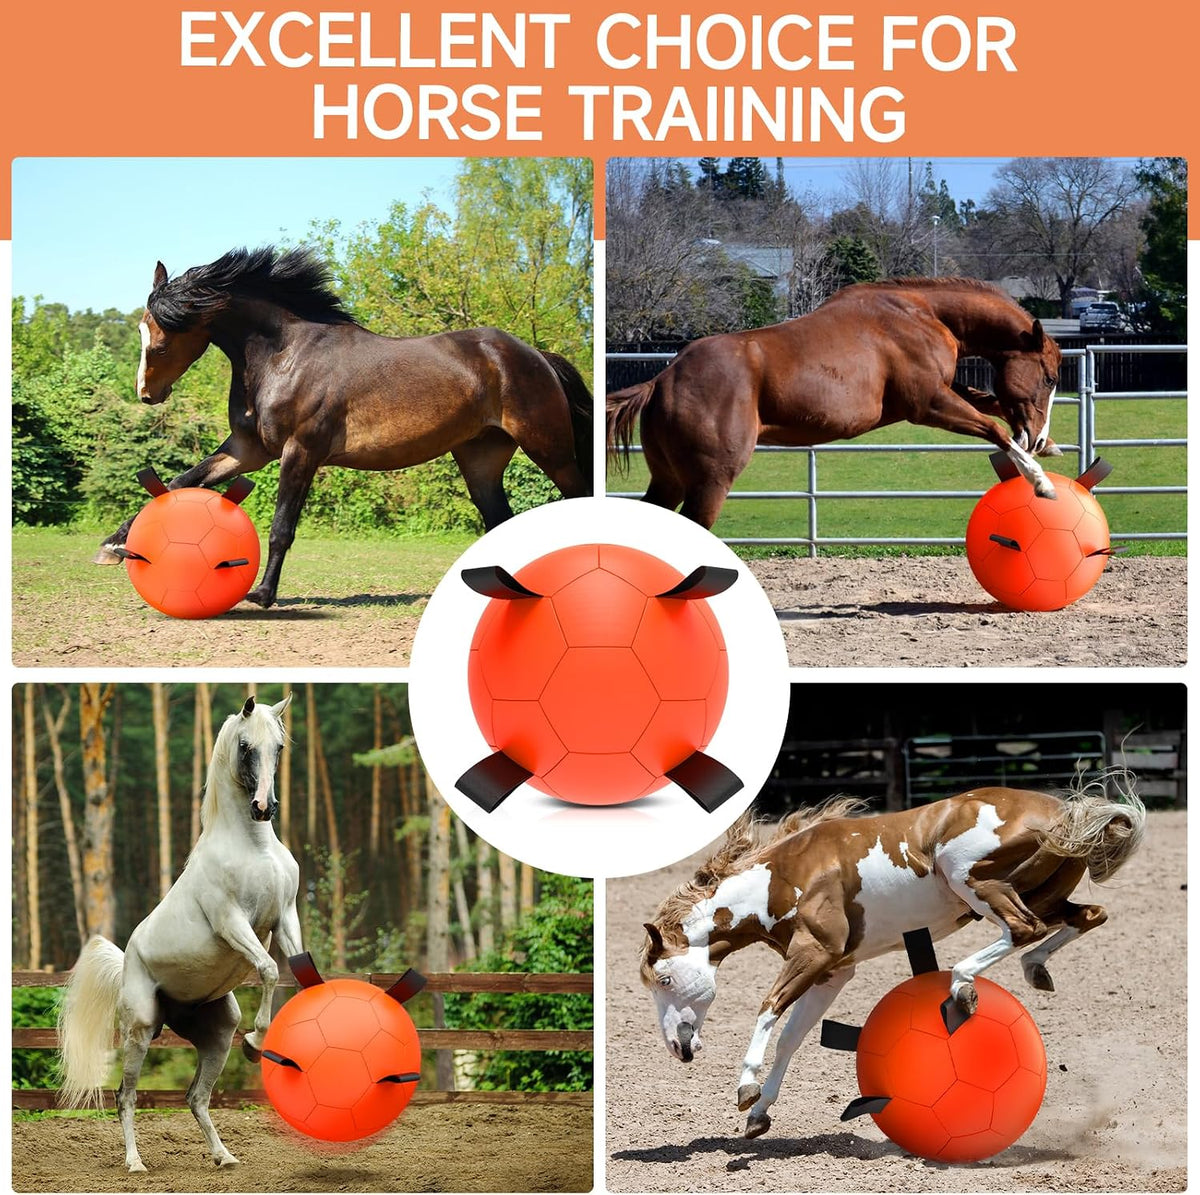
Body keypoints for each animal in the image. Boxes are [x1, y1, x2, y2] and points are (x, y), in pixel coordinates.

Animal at [57, 695, 300, 1172]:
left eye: (279, 747)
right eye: (245, 746)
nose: (263, 807)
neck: (255, 847)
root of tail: (126, 961)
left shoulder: (284, 917)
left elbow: (301, 974)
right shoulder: (233, 922)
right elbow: (267, 970)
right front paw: (256, 1043)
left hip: (217, 1032)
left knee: (196, 1097)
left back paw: (224, 1157)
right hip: (140, 1031)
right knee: (125, 1096)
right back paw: (135, 1162)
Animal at [96, 246, 594, 607]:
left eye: (160, 342)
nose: (147, 393)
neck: (283, 355)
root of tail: (533, 355)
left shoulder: (300, 451)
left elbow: (281, 527)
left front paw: (263, 595)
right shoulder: (247, 449)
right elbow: (179, 483)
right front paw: (113, 546)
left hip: (549, 449)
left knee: (577, 496)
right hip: (481, 461)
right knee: (498, 520)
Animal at [608, 278, 1064, 528]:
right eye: (1050, 378)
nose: (1038, 435)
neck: (922, 313)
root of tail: (663, 380)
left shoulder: (942, 391)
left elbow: (992, 406)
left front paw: (1048, 448)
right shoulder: (928, 403)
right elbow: (994, 428)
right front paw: (1040, 481)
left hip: (669, 481)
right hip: (710, 483)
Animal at [640, 786, 1145, 1140]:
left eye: (663, 979)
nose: (678, 1048)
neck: (781, 880)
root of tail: (1065, 813)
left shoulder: (816, 954)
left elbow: (767, 1009)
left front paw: (746, 1089)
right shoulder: (833, 971)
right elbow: (790, 1039)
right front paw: (760, 1113)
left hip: (975, 881)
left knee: (1023, 929)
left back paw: (963, 985)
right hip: (1042, 893)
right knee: (1085, 917)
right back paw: (1035, 969)